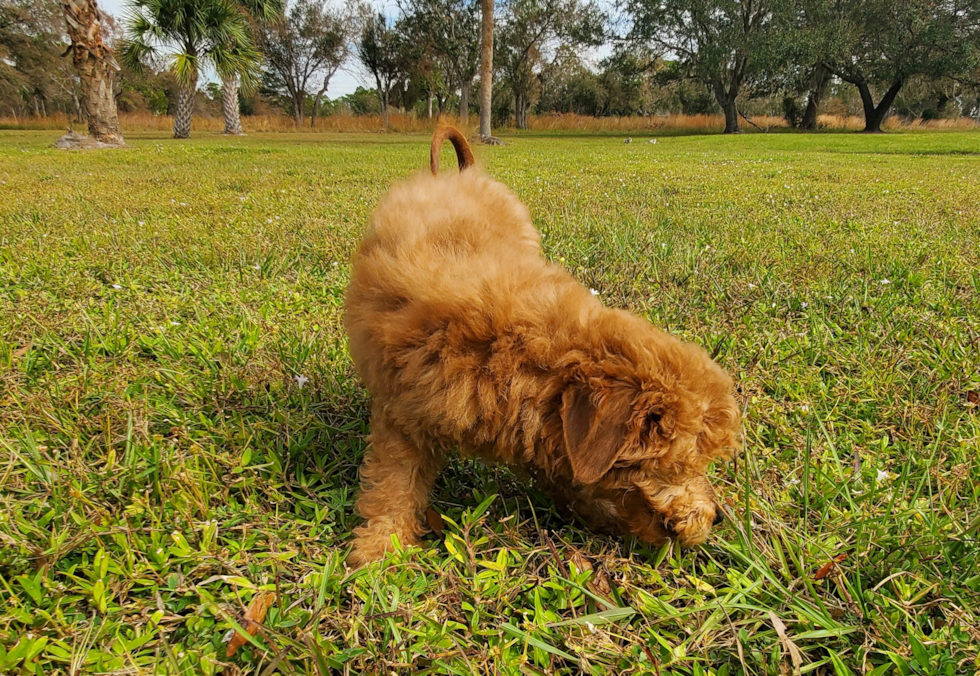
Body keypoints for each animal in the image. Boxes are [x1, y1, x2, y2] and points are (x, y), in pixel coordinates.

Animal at [346, 127, 744, 564]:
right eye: (683, 466)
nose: (719, 517)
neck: (522, 358)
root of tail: (460, 175)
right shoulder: (404, 412)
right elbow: (394, 483)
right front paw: (380, 551)